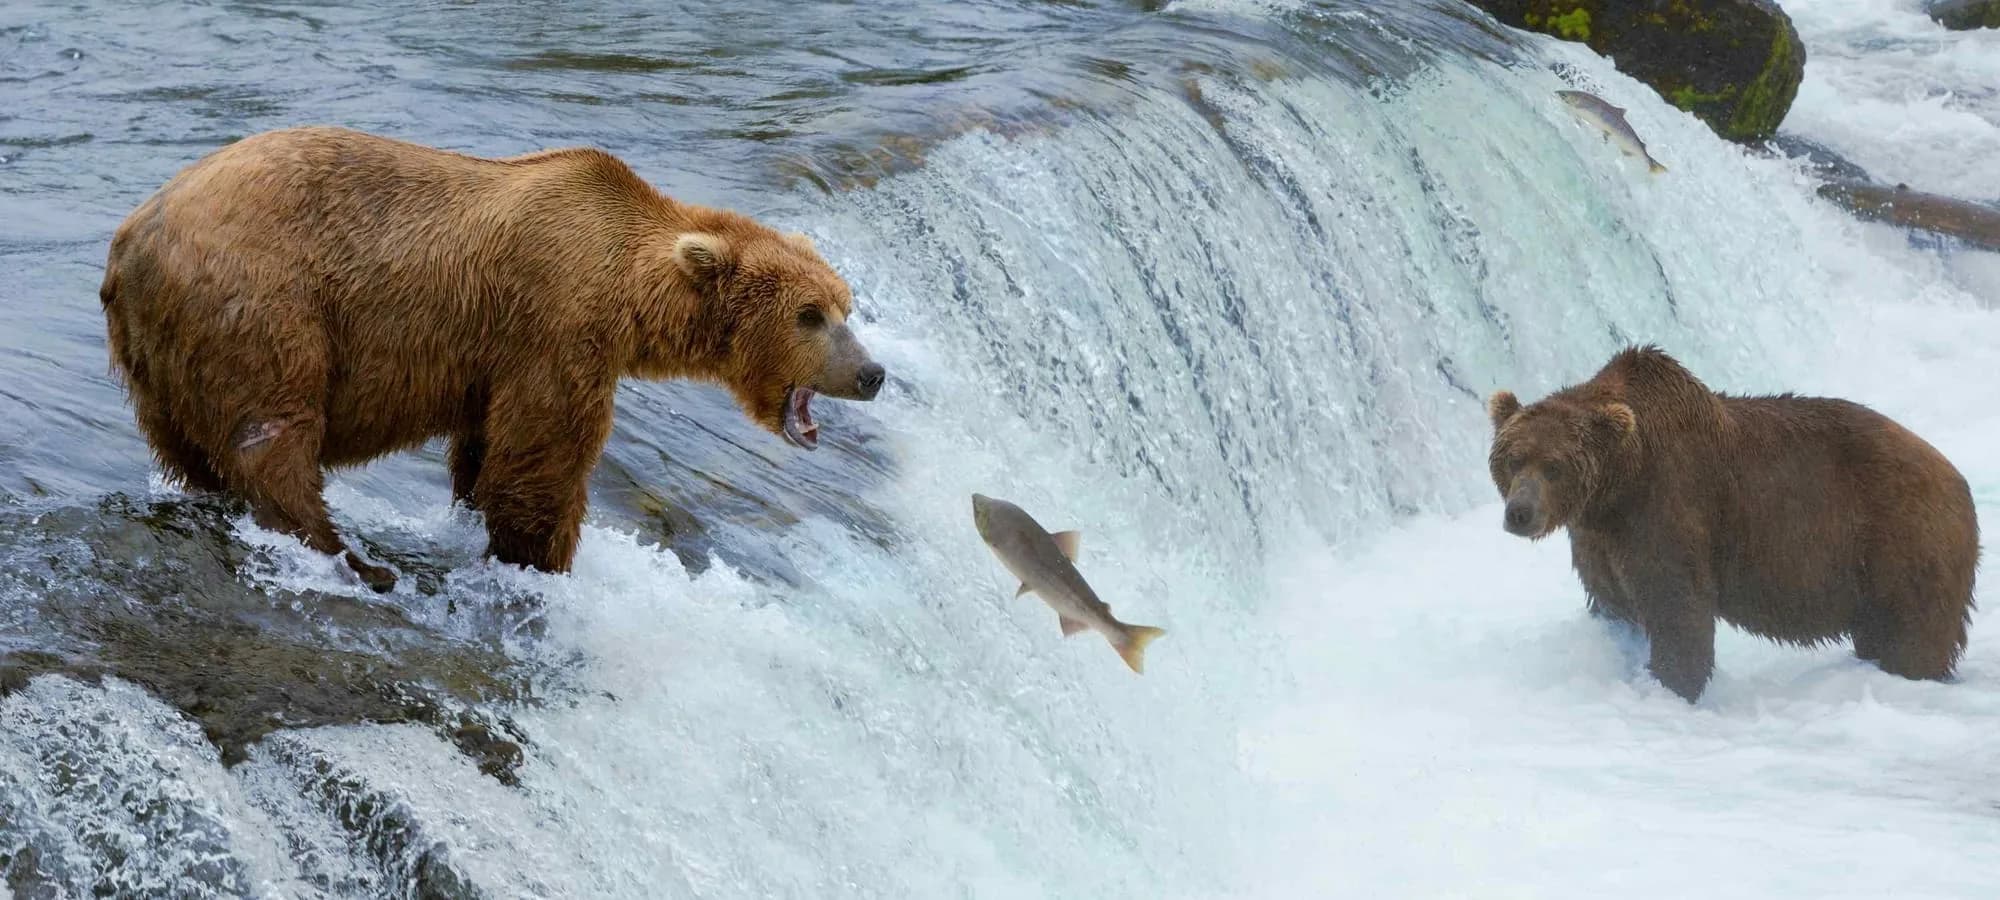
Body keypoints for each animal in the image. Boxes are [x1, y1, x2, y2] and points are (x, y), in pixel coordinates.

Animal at [100, 126, 886, 592]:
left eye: (846, 305)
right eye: (809, 315)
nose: (872, 373)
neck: (631, 290)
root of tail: (131, 237)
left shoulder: (498, 356)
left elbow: (485, 451)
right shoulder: (556, 325)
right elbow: (542, 457)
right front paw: (541, 559)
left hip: (157, 357)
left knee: (189, 447)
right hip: (263, 303)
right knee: (274, 433)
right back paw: (352, 558)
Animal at [1485, 345, 1979, 702]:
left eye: (1553, 466)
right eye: (1512, 458)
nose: (1520, 513)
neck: (1617, 486)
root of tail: (1957, 479)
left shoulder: (1669, 507)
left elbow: (1678, 607)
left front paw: (1672, 685)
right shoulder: (1598, 536)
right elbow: (1612, 599)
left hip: (1904, 543)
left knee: (1912, 635)